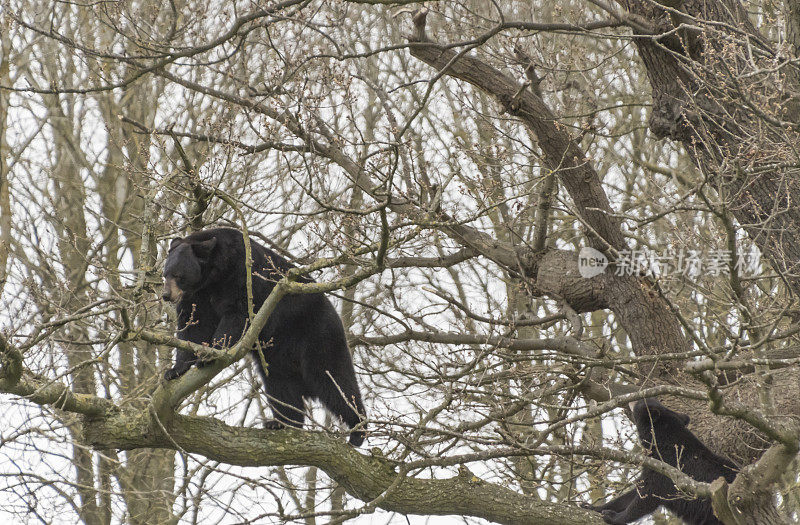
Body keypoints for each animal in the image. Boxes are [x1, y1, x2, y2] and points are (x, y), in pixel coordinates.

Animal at [162, 227, 368, 444]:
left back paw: (357, 430)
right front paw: (175, 370)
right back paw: (281, 423)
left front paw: (211, 353)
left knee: (335, 379)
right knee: (280, 386)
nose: (166, 295)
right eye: (165, 274)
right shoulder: (198, 296)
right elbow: (193, 325)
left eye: (178, 275)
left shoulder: (243, 275)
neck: (214, 276)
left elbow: (239, 312)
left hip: (319, 335)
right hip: (276, 356)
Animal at [584, 400, 740, 520]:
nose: (632, 399)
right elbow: (634, 492)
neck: (663, 444)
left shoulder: (667, 469)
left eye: (641, 403)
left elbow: (647, 497)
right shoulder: (653, 466)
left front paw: (613, 516)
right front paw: (592, 507)